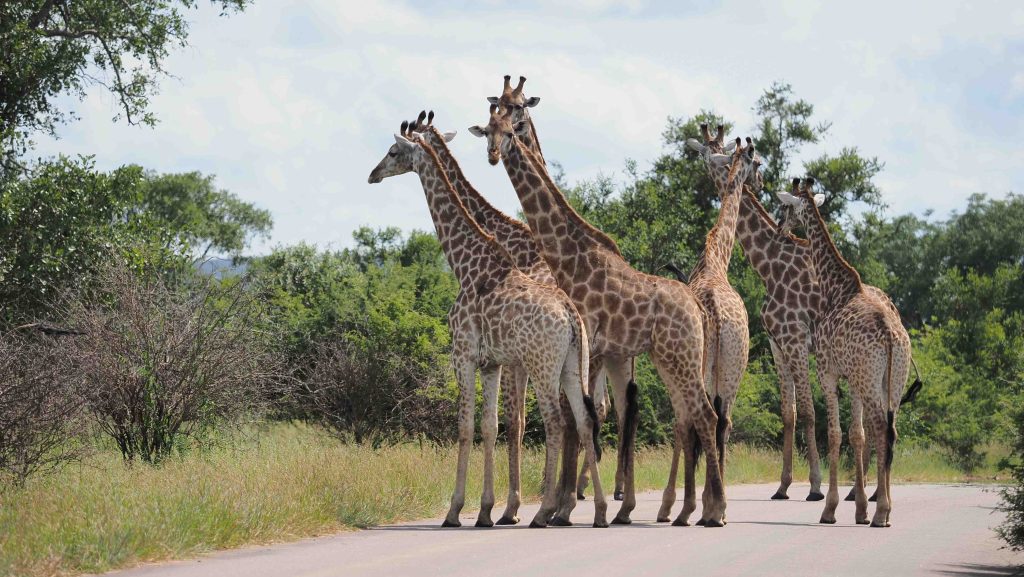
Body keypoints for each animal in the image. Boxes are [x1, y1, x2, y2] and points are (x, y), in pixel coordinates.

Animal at [368, 120, 606, 528]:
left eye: (393, 151)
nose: (373, 174)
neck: (464, 263)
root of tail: (572, 316)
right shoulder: (493, 361)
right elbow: (490, 426)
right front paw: (485, 510)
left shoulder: (462, 353)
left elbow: (466, 427)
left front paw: (455, 510)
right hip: (575, 366)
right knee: (585, 419)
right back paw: (600, 510)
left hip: (543, 365)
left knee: (556, 422)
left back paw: (545, 510)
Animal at [471, 105, 729, 528]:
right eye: (489, 128)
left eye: (511, 128)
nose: (493, 154)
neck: (568, 257)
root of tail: (697, 307)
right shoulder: (593, 352)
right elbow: (582, 416)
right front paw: (571, 505)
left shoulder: (587, 345)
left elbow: (577, 418)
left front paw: (562, 508)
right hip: (673, 359)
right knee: (693, 416)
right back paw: (690, 509)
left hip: (679, 357)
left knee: (704, 416)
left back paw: (712, 510)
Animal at [655, 133, 761, 524]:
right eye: (757, 163)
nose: (761, 184)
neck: (714, 260)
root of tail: (715, 310)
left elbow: (683, 426)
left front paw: (674, 503)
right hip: (731, 369)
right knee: (719, 421)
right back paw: (714, 507)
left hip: (703, 369)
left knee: (698, 421)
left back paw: (698, 507)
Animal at [684, 125, 827, 502]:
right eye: (759, 162)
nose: (760, 182)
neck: (770, 266)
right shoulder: (781, 344)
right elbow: (790, 413)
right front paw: (785, 486)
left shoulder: (793, 340)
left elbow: (806, 412)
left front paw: (814, 486)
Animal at [774, 178, 913, 524]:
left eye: (786, 207)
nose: (781, 229)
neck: (834, 287)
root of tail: (891, 336)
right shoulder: (851, 378)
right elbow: (856, 434)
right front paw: (860, 508)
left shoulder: (828, 371)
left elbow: (836, 433)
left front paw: (830, 508)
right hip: (892, 380)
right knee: (890, 431)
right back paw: (883, 510)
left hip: (871, 379)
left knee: (881, 427)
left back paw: (882, 512)